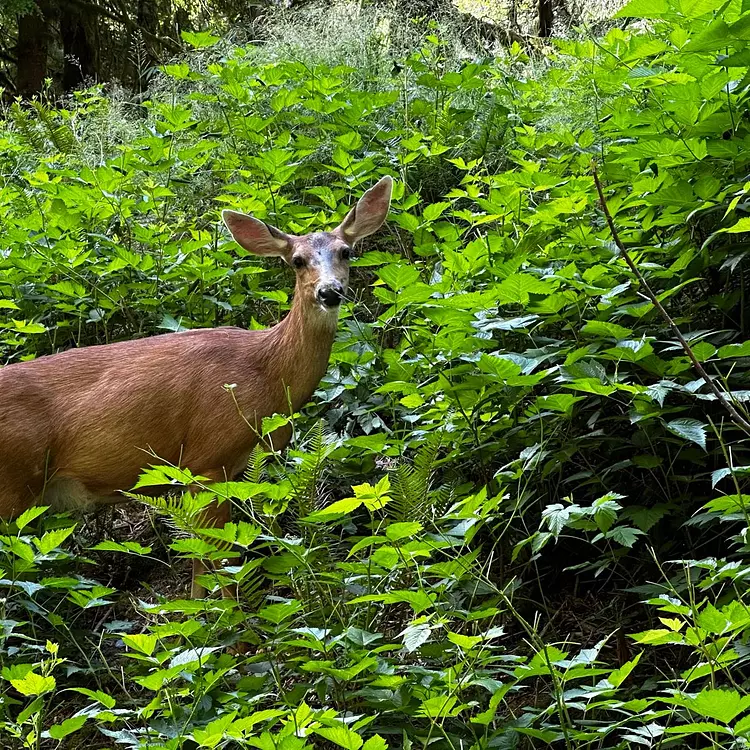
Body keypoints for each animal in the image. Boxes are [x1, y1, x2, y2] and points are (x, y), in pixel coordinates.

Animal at [0, 175, 396, 600]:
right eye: (297, 260)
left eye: (346, 251)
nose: (329, 291)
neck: (265, 373)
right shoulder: (206, 458)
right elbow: (220, 560)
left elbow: (200, 565)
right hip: (12, 481)